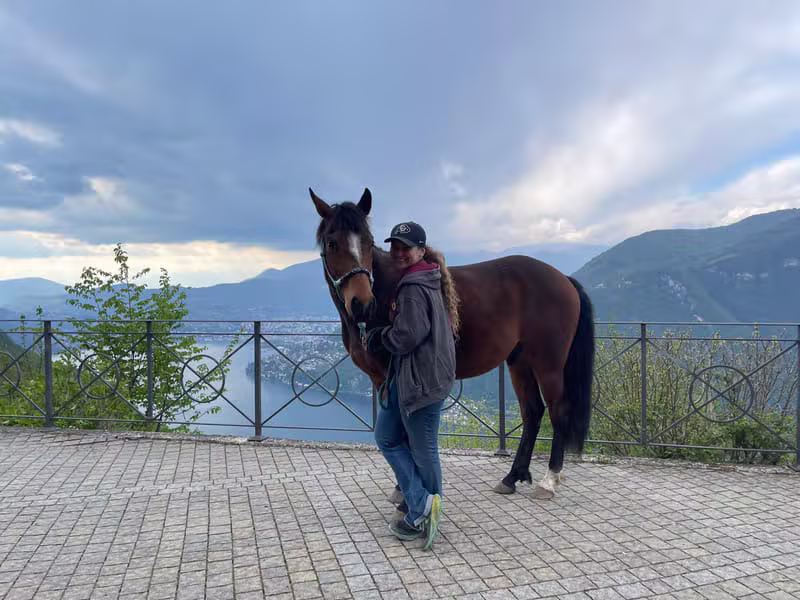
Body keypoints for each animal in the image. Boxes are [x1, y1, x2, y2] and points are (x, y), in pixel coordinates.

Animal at [310, 187, 595, 498]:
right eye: (332, 243)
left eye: (368, 241)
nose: (362, 304)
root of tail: (563, 279)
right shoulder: (380, 379)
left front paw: (408, 489)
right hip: (520, 362)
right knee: (532, 412)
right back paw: (512, 477)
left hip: (548, 364)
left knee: (558, 410)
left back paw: (550, 479)